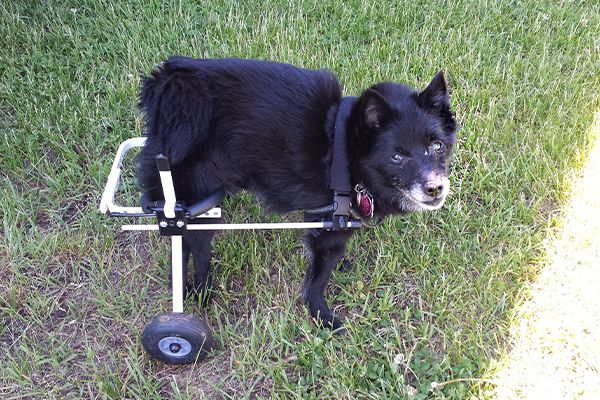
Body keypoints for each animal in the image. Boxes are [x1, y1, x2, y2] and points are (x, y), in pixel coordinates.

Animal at [137, 57, 454, 332]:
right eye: (397, 156)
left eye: (436, 145)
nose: (435, 188)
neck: (348, 149)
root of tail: (168, 82)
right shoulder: (330, 230)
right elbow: (318, 281)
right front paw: (322, 316)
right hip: (192, 207)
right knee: (192, 247)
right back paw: (197, 298)